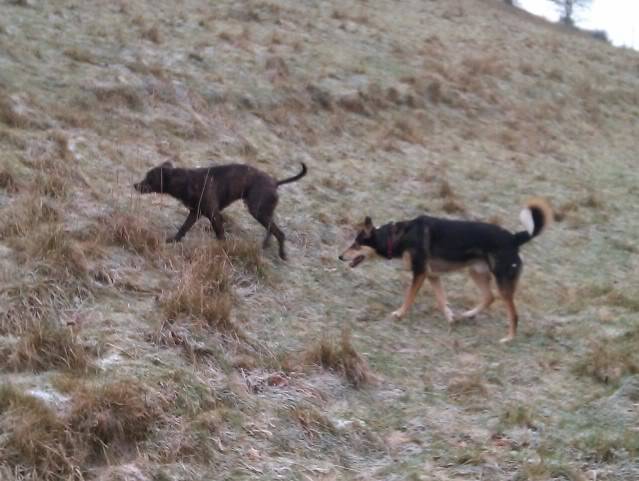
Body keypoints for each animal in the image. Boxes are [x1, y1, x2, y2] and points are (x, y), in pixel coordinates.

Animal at [134, 161, 306, 258]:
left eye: (149, 178)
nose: (135, 185)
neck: (186, 181)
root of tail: (275, 182)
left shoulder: (214, 215)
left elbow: (220, 235)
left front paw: (223, 250)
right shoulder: (194, 213)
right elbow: (183, 228)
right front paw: (173, 240)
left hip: (257, 211)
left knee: (280, 233)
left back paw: (282, 255)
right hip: (263, 211)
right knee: (272, 228)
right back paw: (265, 245)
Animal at [340, 199, 556, 342]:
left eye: (356, 245)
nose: (340, 257)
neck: (398, 236)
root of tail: (515, 238)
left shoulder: (419, 273)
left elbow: (409, 298)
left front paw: (399, 314)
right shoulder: (432, 275)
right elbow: (441, 300)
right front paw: (451, 318)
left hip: (502, 282)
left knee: (513, 313)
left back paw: (508, 338)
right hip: (476, 272)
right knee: (489, 297)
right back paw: (467, 315)